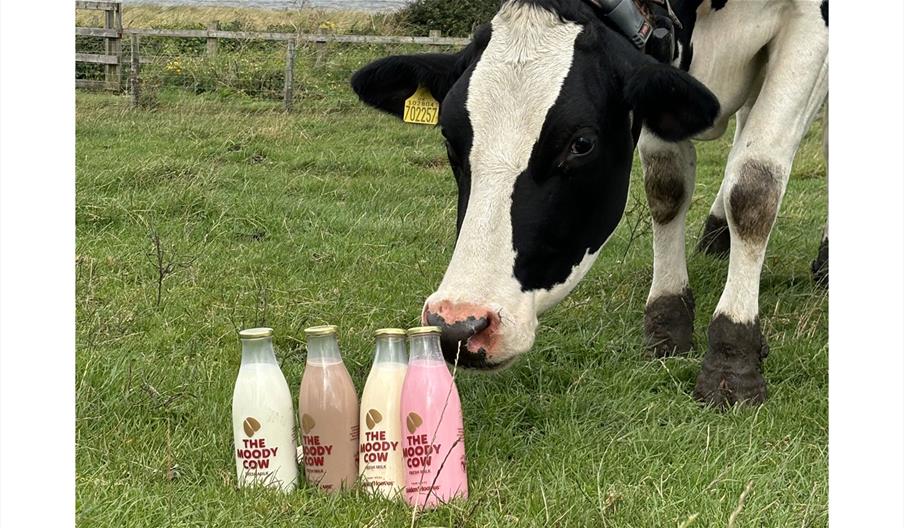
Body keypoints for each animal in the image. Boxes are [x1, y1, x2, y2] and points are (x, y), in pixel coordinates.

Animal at [352, 0, 828, 408]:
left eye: (581, 144)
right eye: (451, 139)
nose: (457, 326)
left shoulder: (809, 24)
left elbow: (754, 186)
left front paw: (733, 358)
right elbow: (666, 185)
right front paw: (667, 323)